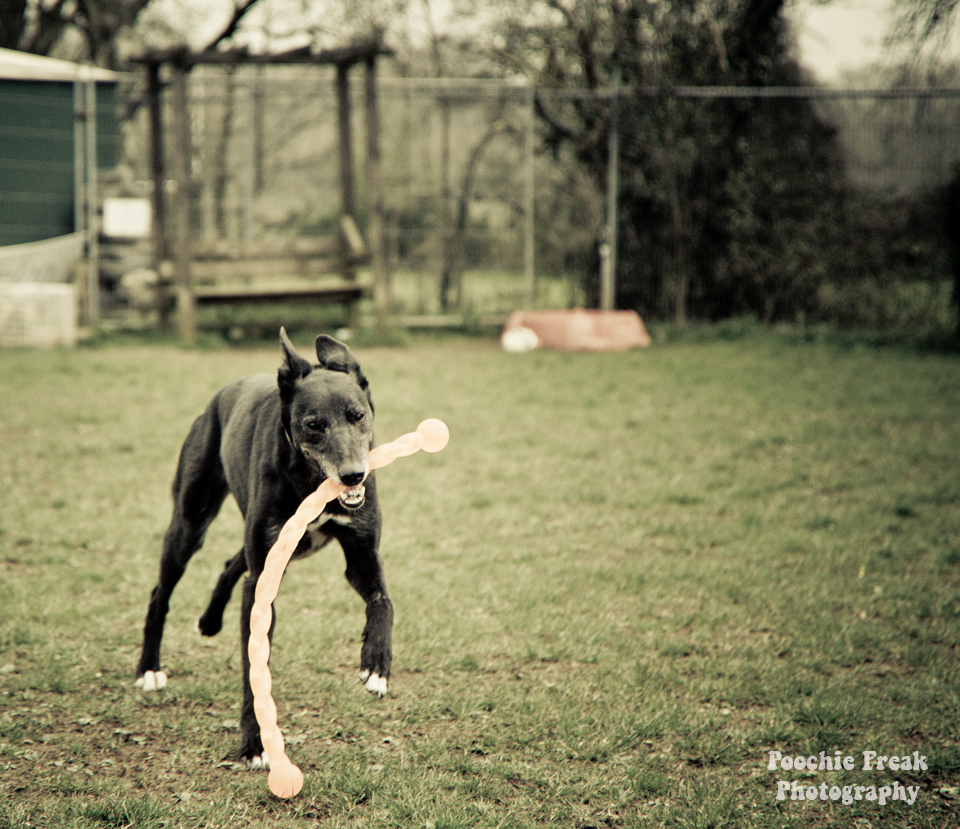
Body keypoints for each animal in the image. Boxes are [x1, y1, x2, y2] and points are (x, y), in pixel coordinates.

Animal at [135, 326, 390, 768]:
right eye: (313, 424)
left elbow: (382, 600)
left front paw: (376, 664)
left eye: (358, 415)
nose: (353, 476)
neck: (311, 484)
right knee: (160, 592)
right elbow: (254, 664)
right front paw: (256, 743)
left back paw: (209, 620)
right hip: (189, 525)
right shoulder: (263, 580)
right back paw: (149, 668)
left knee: (230, 563)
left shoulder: (360, 555)